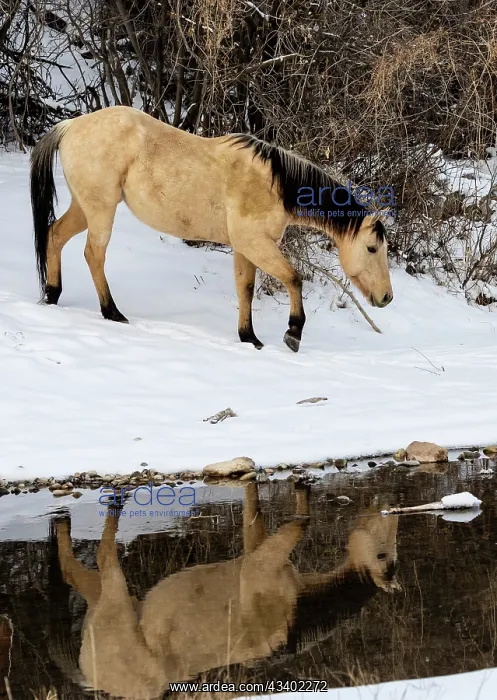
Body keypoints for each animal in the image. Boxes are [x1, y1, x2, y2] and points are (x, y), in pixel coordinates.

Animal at [30, 106, 393, 352]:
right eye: (372, 248)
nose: (387, 298)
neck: (274, 184)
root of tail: (71, 125)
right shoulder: (256, 243)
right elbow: (293, 278)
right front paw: (293, 333)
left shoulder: (245, 248)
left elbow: (245, 288)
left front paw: (249, 338)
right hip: (101, 210)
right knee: (94, 254)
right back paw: (112, 312)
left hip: (84, 208)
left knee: (54, 235)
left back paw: (52, 295)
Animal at [51, 482, 399, 699]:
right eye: (383, 555)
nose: (389, 503)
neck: (298, 612)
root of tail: (93, 680)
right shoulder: (261, 563)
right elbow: (303, 520)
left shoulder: (256, 553)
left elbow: (257, 512)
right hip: (116, 602)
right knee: (102, 554)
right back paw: (114, 501)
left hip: (110, 606)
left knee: (76, 570)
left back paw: (64, 519)